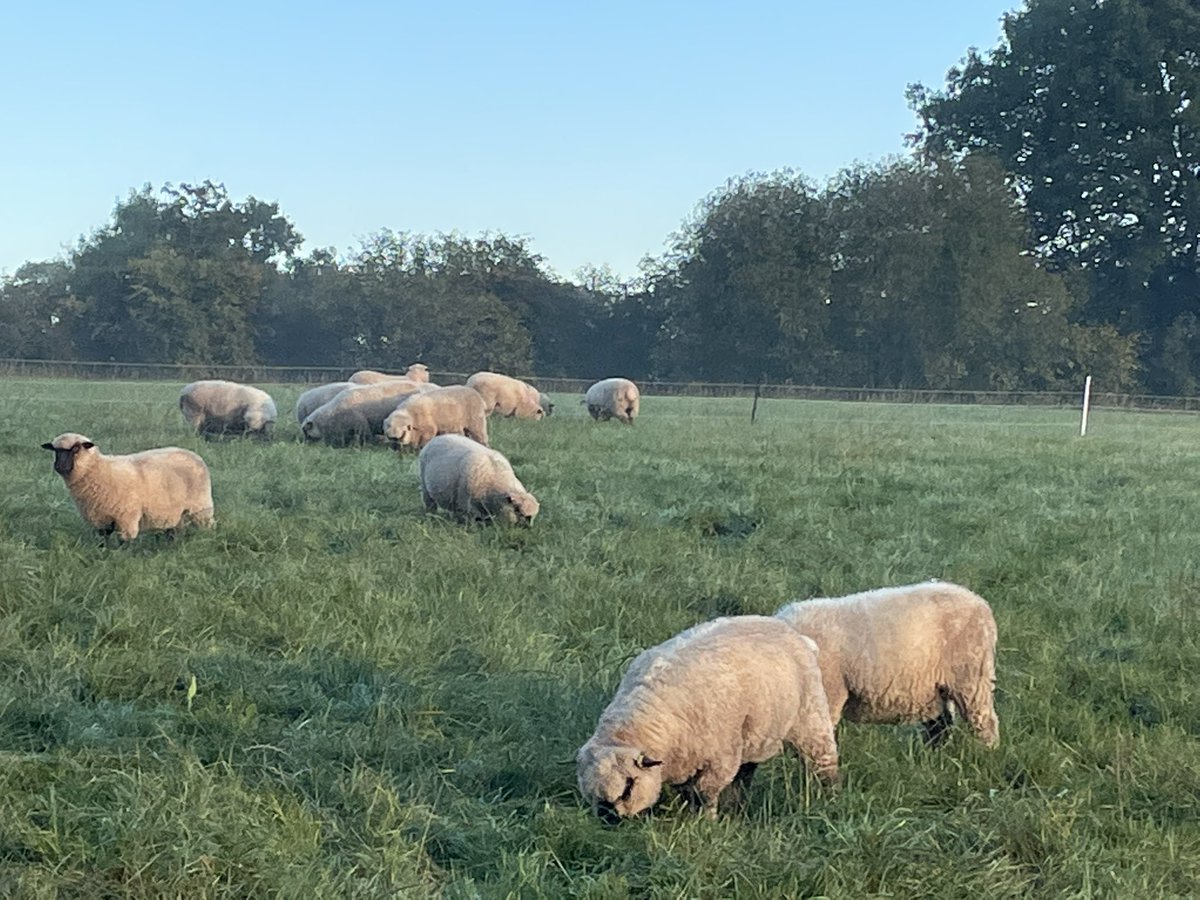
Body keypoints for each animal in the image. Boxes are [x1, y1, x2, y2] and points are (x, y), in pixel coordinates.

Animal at [41, 432, 214, 541]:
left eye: (76, 448)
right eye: (55, 450)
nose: (59, 467)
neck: (99, 470)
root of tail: (194, 455)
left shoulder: (126, 517)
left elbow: (123, 543)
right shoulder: (100, 519)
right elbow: (102, 542)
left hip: (201, 506)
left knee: (207, 526)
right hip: (177, 512)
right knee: (174, 530)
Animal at [576, 615, 839, 822]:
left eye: (628, 786)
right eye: (591, 795)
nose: (609, 820)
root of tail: (794, 633)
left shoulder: (721, 757)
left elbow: (704, 792)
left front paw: (706, 821)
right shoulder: (686, 760)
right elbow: (690, 792)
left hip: (810, 716)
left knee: (823, 758)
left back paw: (829, 796)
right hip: (753, 734)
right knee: (745, 772)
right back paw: (736, 805)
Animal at [774, 581, 999, 748]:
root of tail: (980, 603)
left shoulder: (829, 693)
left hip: (971, 675)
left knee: (984, 722)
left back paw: (985, 754)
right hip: (937, 687)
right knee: (941, 726)